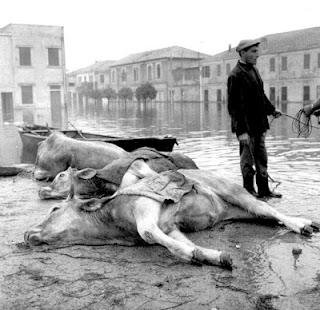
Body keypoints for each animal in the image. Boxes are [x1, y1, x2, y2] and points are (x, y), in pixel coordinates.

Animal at [23, 168, 318, 268]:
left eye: (54, 210)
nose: (27, 233)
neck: (113, 223)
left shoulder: (147, 209)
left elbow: (148, 233)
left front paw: (193, 255)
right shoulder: (170, 227)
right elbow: (177, 241)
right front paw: (210, 255)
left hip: (235, 192)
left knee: (272, 211)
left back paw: (303, 224)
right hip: (238, 211)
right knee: (265, 216)